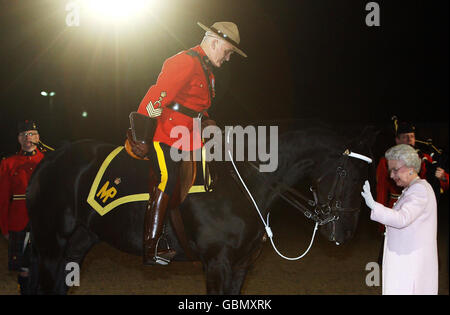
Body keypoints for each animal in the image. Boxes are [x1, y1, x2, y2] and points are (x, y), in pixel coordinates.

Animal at [24, 124, 376, 296]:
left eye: (366, 178)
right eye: (347, 173)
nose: (344, 233)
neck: (245, 186)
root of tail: (47, 159)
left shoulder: (241, 267)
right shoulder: (217, 264)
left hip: (77, 244)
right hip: (51, 244)